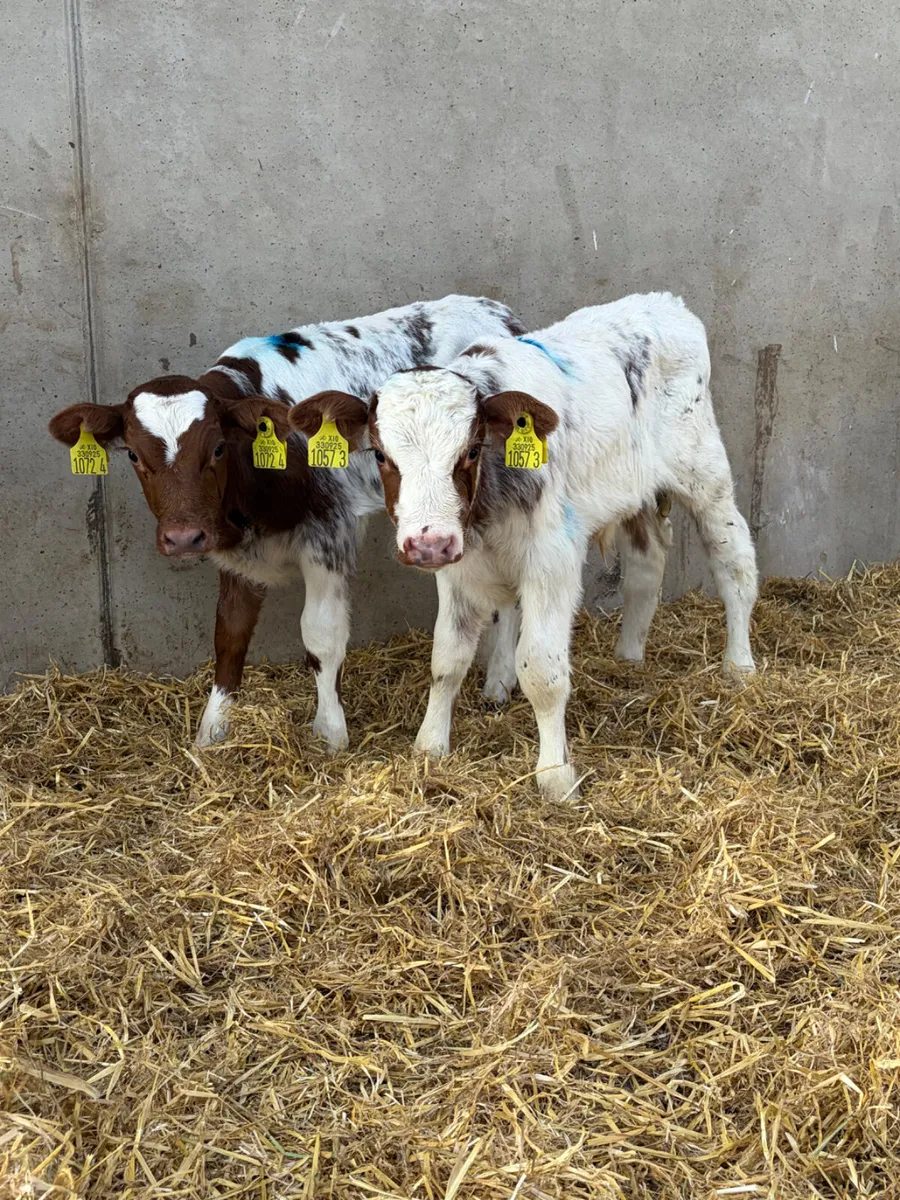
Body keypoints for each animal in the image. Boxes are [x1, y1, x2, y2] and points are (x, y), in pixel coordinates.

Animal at [48, 295, 526, 748]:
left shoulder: (329, 533)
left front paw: (330, 733)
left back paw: (498, 681)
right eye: (132, 454)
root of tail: (496, 310)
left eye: (217, 448)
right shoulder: (235, 551)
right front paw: (211, 732)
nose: (183, 537)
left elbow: (321, 636)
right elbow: (230, 634)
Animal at [289, 293, 758, 799]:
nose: (427, 544)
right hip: (634, 491)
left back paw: (740, 664)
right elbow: (447, 659)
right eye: (379, 454)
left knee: (734, 562)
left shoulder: (552, 560)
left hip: (705, 474)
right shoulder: (458, 567)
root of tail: (665, 302)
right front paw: (430, 746)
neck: (487, 514)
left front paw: (555, 776)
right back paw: (630, 656)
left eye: (472, 450)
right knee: (646, 560)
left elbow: (542, 671)